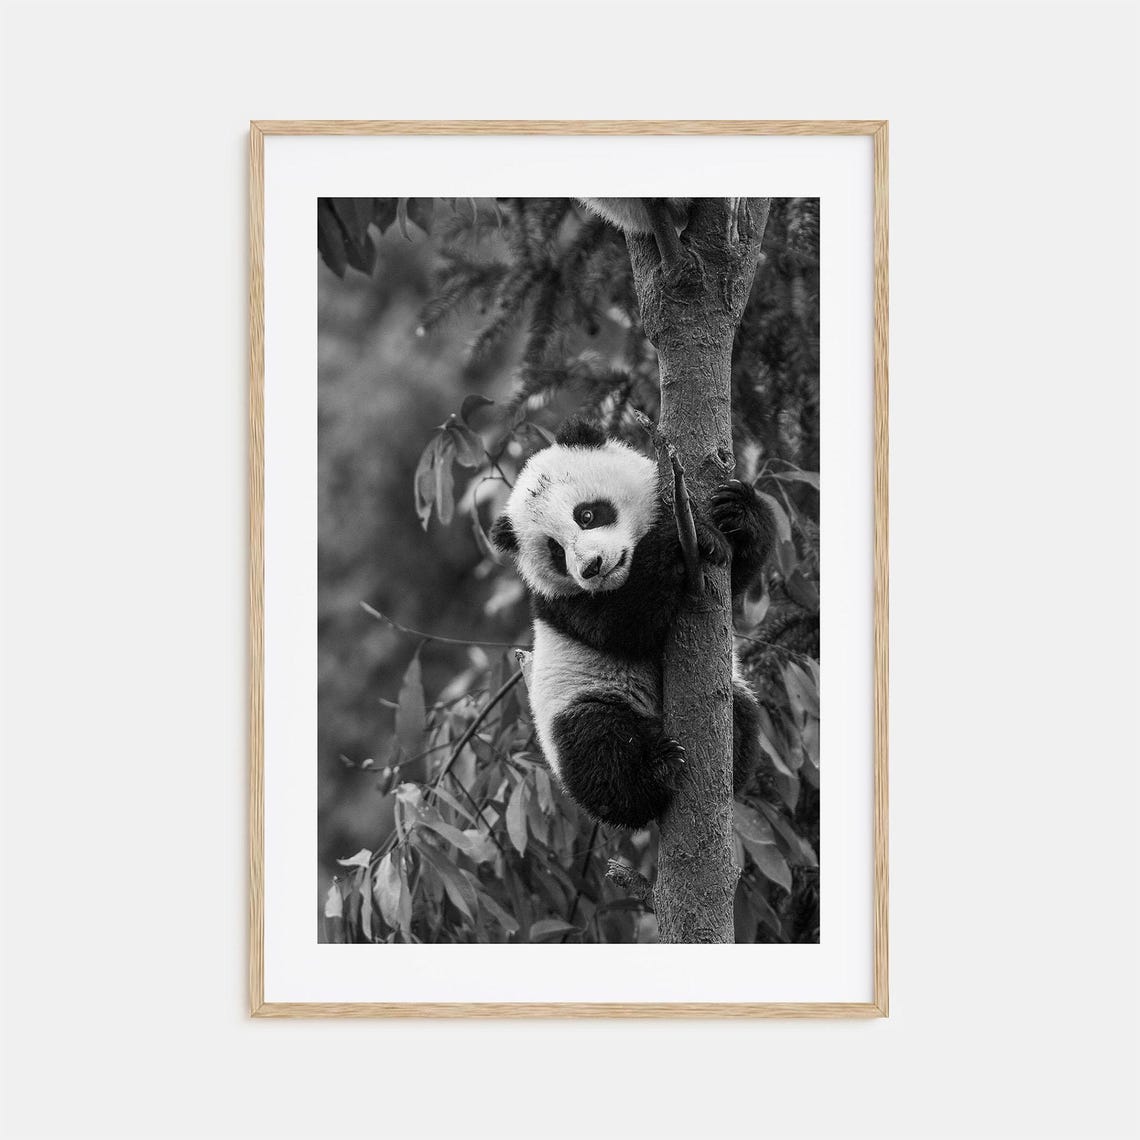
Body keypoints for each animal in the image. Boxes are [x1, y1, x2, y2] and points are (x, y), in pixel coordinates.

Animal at [489, 418, 775, 830]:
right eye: (556, 551)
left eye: (587, 514)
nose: (592, 567)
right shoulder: (562, 604)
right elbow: (623, 624)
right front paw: (680, 541)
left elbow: (736, 576)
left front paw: (737, 512)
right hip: (580, 699)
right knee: (599, 748)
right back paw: (657, 771)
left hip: (733, 690)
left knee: (744, 713)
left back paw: (729, 761)